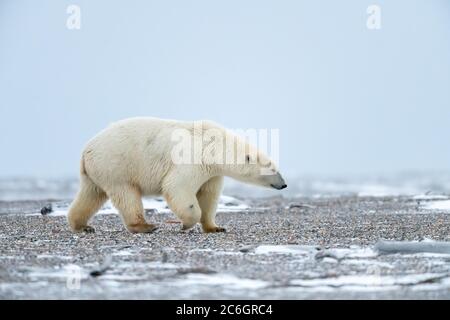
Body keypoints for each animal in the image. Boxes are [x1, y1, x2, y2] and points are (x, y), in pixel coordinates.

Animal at [68, 117, 286, 232]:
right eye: (272, 168)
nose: (284, 184)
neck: (213, 147)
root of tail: (86, 150)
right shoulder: (192, 161)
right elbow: (177, 187)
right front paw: (186, 224)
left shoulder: (212, 173)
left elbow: (208, 196)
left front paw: (215, 227)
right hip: (116, 166)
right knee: (127, 195)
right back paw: (145, 226)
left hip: (97, 171)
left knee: (91, 194)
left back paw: (82, 225)